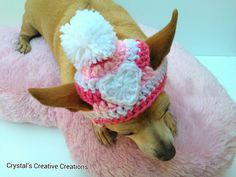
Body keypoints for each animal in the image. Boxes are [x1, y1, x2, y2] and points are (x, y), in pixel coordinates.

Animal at [16, 0, 178, 160]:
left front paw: (169, 119)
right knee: (24, 32)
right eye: (127, 133)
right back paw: (23, 42)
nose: (169, 154)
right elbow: (89, 113)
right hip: (29, 24)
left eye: (167, 108)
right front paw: (100, 128)